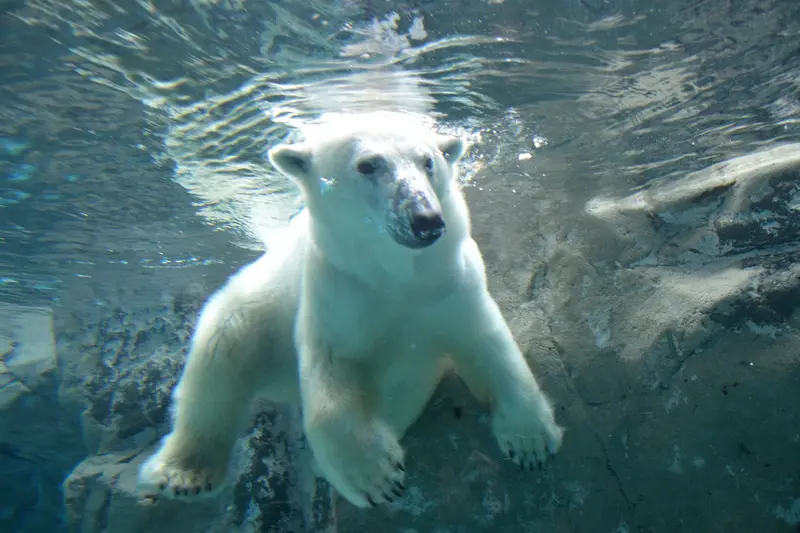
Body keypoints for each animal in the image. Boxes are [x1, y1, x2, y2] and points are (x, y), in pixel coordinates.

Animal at [137, 111, 564, 508]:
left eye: (428, 161)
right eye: (367, 165)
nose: (426, 219)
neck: (398, 276)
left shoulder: (451, 286)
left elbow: (489, 346)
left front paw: (529, 442)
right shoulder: (338, 293)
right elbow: (332, 377)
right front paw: (376, 477)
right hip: (260, 309)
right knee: (219, 360)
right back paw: (183, 473)